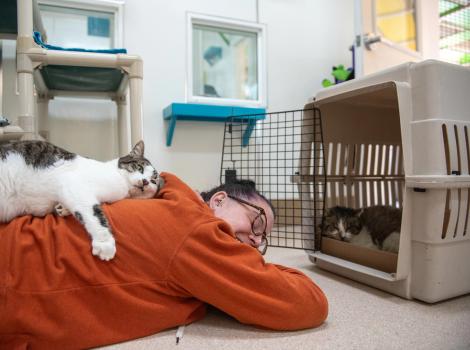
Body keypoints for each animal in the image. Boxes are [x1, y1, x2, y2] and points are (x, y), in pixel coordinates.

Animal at [0, 139, 163, 260]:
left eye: (154, 181)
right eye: (139, 168)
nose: (145, 182)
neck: (121, 186)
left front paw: (62, 208)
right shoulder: (74, 185)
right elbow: (95, 213)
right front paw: (104, 243)